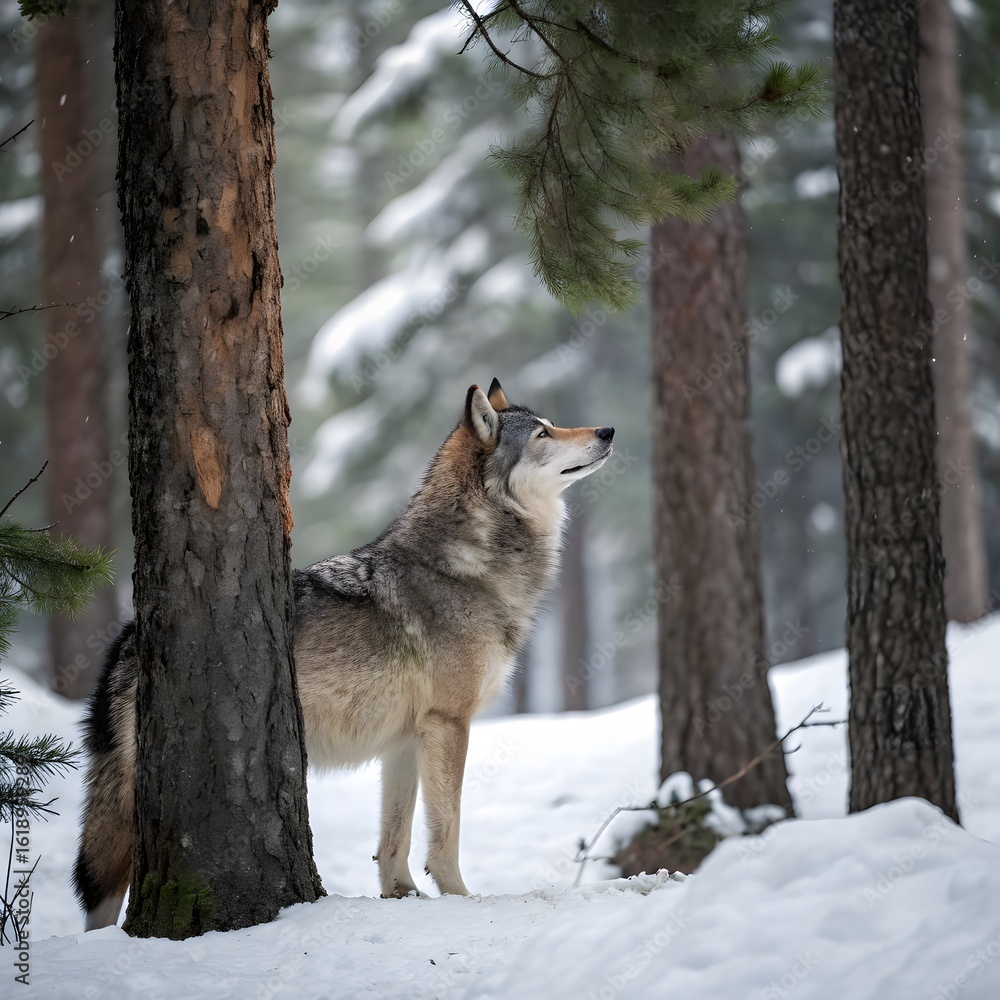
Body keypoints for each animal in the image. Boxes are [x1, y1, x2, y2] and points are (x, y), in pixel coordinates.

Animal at [74, 378, 614, 929]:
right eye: (544, 433)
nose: (608, 430)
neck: (468, 565)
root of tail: (130, 634)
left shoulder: (406, 740)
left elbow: (394, 839)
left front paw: (402, 896)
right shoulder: (448, 723)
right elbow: (447, 833)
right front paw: (461, 899)